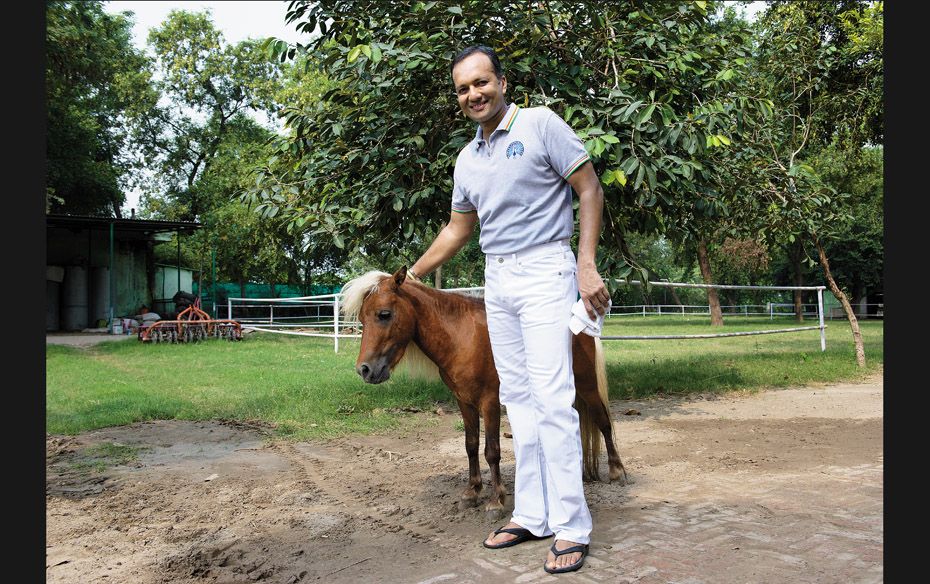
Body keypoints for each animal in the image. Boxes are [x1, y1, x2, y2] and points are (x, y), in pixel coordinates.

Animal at [338, 266, 628, 516]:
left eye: (384, 314)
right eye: (362, 318)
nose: (365, 370)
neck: (461, 337)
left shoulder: (489, 401)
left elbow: (492, 450)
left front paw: (496, 500)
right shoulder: (464, 401)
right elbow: (470, 445)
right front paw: (472, 492)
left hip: (587, 386)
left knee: (602, 421)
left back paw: (616, 471)